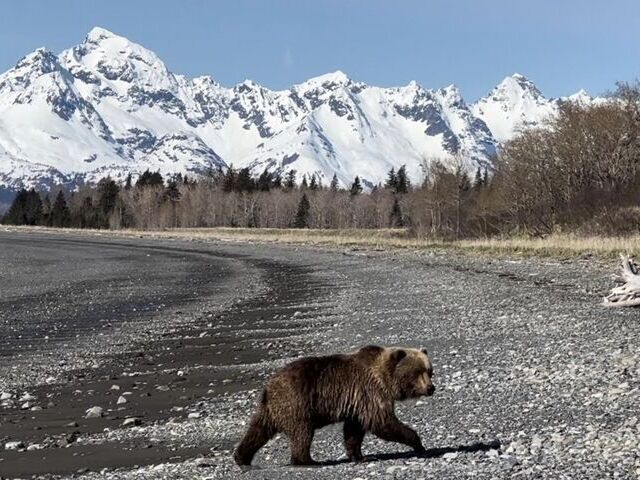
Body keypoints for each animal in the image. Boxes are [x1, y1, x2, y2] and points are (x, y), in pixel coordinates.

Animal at [232, 344, 432, 464]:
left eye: (430, 371)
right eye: (418, 372)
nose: (431, 388)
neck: (385, 378)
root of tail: (268, 385)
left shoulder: (357, 402)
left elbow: (354, 430)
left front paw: (358, 455)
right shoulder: (370, 392)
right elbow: (382, 422)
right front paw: (418, 443)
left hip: (269, 408)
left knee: (257, 430)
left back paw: (241, 457)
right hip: (296, 402)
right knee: (302, 432)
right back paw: (307, 460)